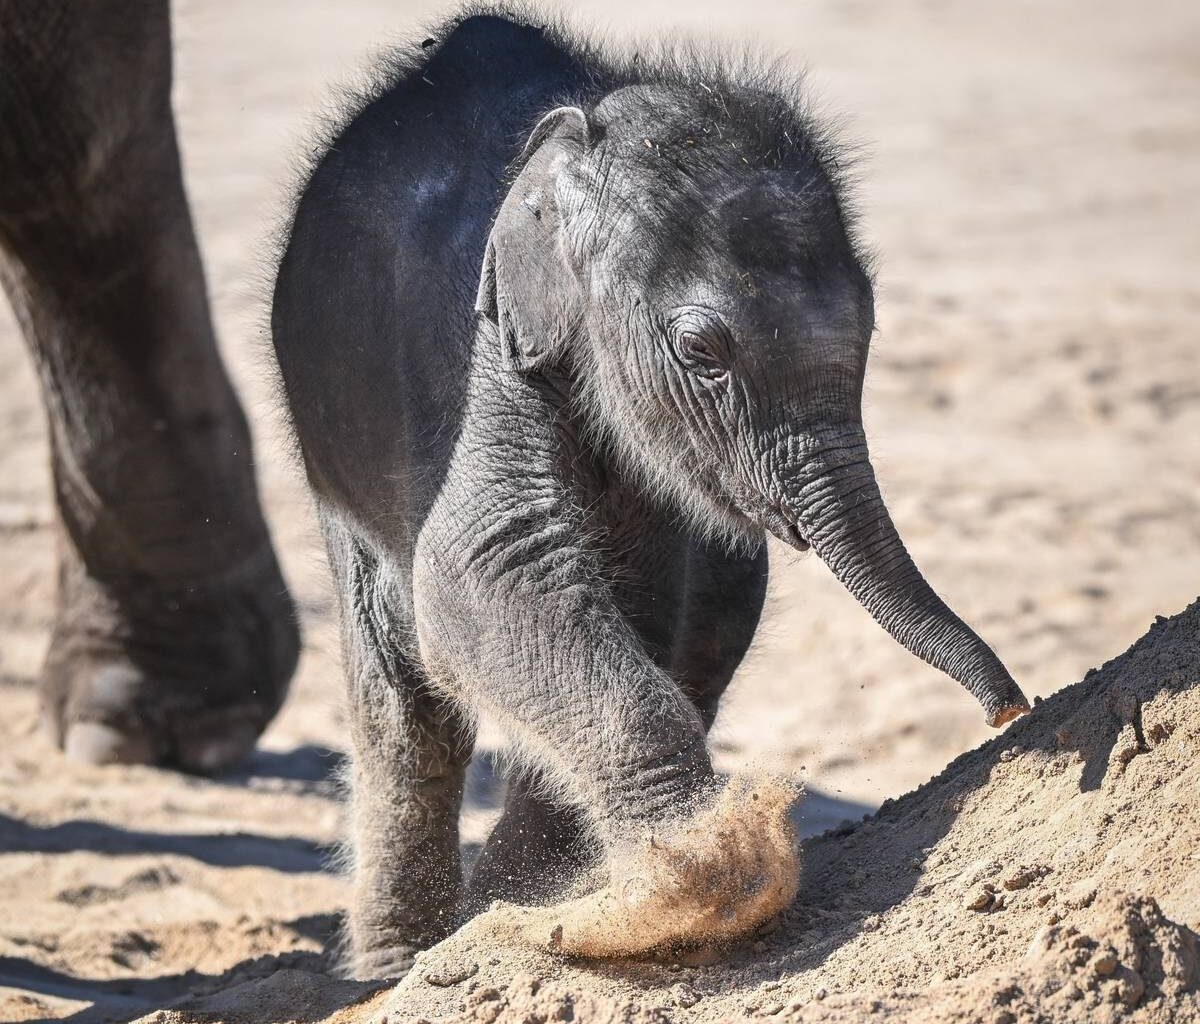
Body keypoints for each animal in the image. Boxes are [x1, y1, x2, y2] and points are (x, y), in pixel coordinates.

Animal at [270, 7, 1031, 977]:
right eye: (703, 352)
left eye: (871, 329)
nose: (1011, 710)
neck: (578, 129)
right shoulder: (483, 338)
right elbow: (489, 564)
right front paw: (701, 878)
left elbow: (655, 601)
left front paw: (559, 904)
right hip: (329, 434)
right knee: (403, 703)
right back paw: (400, 965)